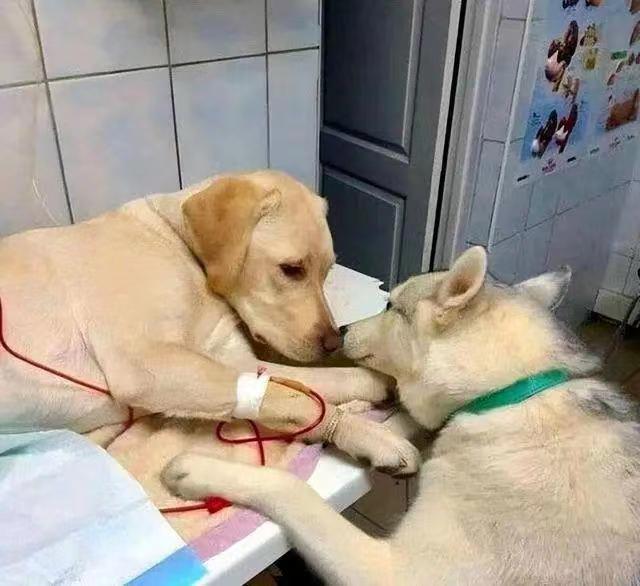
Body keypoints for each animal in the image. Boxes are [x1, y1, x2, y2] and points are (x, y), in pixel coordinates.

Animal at [0, 170, 419, 475]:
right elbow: (295, 398)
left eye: (328, 270)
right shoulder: (149, 364)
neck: (181, 249)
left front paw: (377, 380)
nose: (333, 342)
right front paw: (368, 435)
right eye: (291, 269)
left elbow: (321, 382)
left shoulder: (233, 361)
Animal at [165, 247, 640, 585]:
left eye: (391, 306)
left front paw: (198, 471)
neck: (511, 392)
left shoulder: (394, 572)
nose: (342, 331)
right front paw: (367, 430)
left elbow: (290, 489)